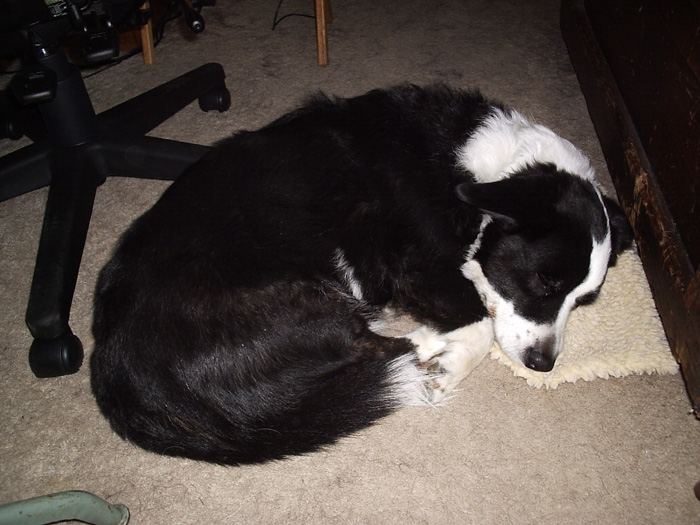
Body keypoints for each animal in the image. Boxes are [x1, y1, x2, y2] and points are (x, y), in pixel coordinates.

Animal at [90, 84, 634, 465]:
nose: (543, 366)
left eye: (583, 301)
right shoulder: (417, 266)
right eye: (545, 283)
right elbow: (478, 321)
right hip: (309, 300)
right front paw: (449, 370)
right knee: (383, 349)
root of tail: (128, 385)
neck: (490, 172)